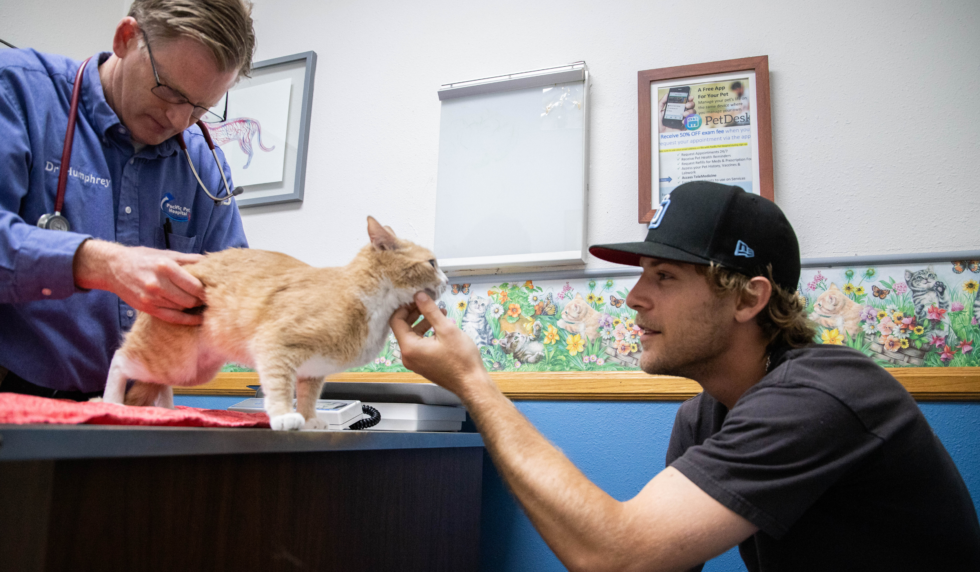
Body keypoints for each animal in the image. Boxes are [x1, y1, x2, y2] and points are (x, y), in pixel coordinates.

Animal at [103, 218, 448, 428]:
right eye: (432, 263)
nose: (446, 280)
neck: (367, 299)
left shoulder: (313, 370)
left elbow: (308, 397)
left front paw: (309, 420)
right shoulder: (276, 344)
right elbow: (279, 385)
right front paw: (284, 416)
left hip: (189, 369)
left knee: (157, 382)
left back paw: (166, 411)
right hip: (174, 358)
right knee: (121, 359)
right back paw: (112, 403)